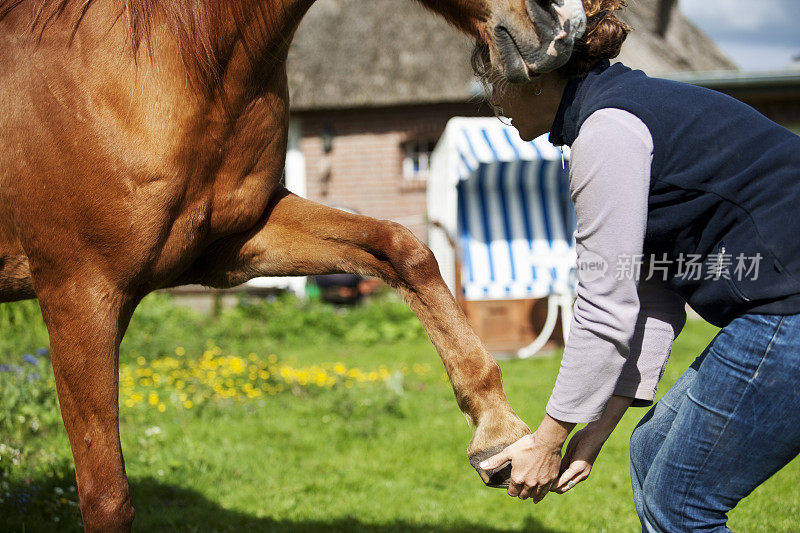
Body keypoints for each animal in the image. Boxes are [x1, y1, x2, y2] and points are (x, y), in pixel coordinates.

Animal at [0, 0, 580, 528]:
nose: (560, 28)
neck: (163, 65)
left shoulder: (233, 247)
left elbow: (401, 248)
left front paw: (497, 432)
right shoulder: (80, 292)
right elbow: (107, 498)